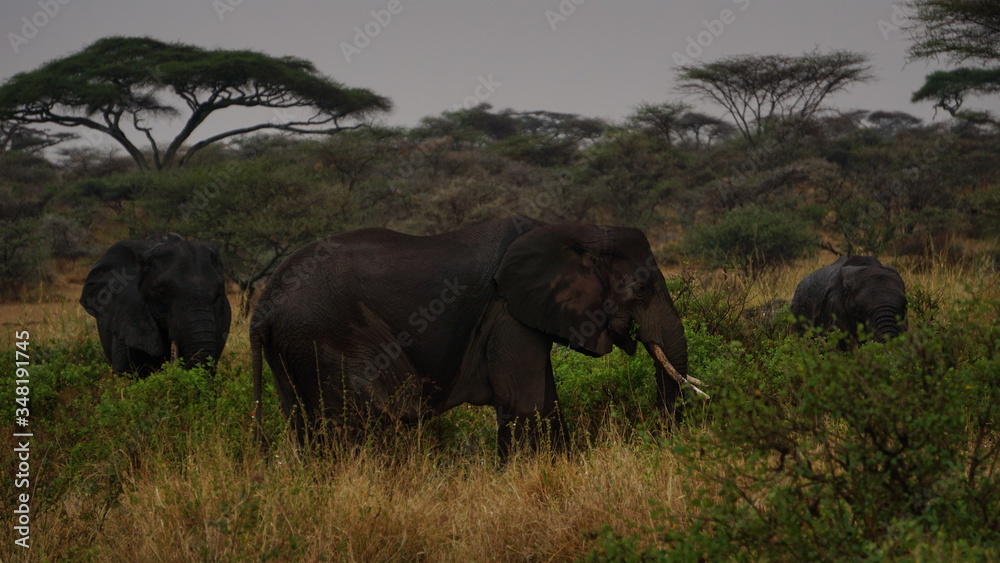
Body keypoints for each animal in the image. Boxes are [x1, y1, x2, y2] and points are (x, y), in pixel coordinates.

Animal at [250, 215, 703, 460]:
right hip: (325, 337)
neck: (579, 230)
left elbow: (546, 401)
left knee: (306, 426)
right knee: (358, 422)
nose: (663, 438)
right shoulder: (506, 310)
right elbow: (524, 402)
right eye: (641, 289)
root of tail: (262, 308)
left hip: (292, 349)